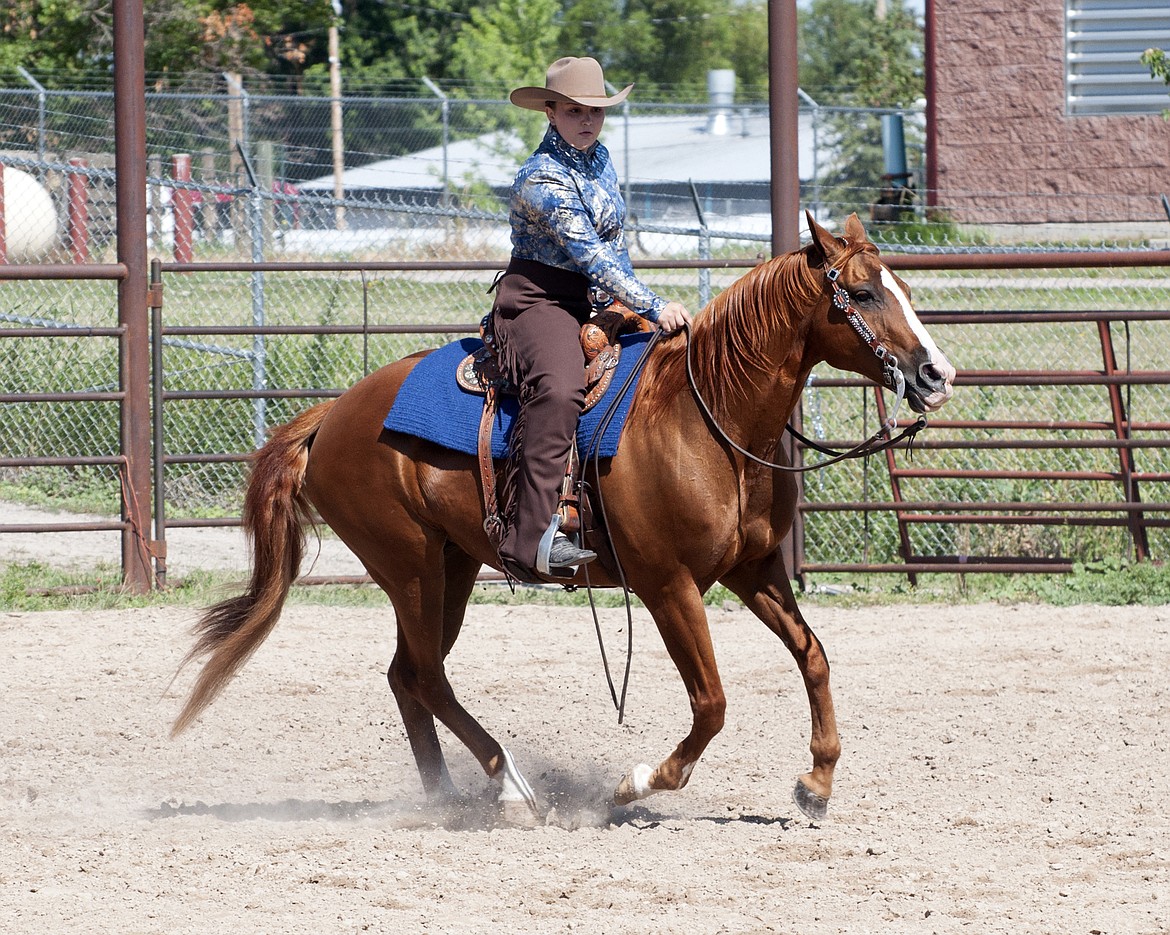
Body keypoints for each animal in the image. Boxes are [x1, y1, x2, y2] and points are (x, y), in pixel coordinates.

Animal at [173, 214, 954, 828]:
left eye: (907, 290)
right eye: (862, 293)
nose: (937, 374)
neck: (709, 416)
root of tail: (331, 416)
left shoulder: (752, 569)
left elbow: (813, 655)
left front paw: (816, 782)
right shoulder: (668, 585)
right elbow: (711, 702)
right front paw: (635, 783)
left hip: (451, 566)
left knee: (410, 675)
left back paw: (449, 796)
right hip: (410, 565)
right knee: (426, 676)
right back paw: (511, 789)